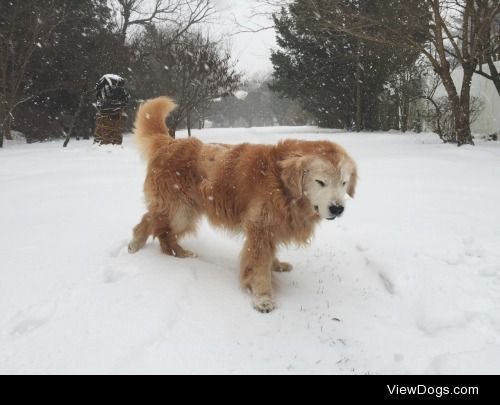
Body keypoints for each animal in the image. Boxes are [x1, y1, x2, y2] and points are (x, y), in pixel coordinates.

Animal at [127, 98, 358, 312]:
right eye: (321, 182)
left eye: (343, 182)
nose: (338, 208)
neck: (281, 185)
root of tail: (169, 143)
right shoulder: (260, 228)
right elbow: (259, 264)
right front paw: (263, 297)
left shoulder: (271, 228)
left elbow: (269, 256)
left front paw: (276, 265)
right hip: (180, 210)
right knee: (154, 225)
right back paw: (152, 248)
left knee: (158, 226)